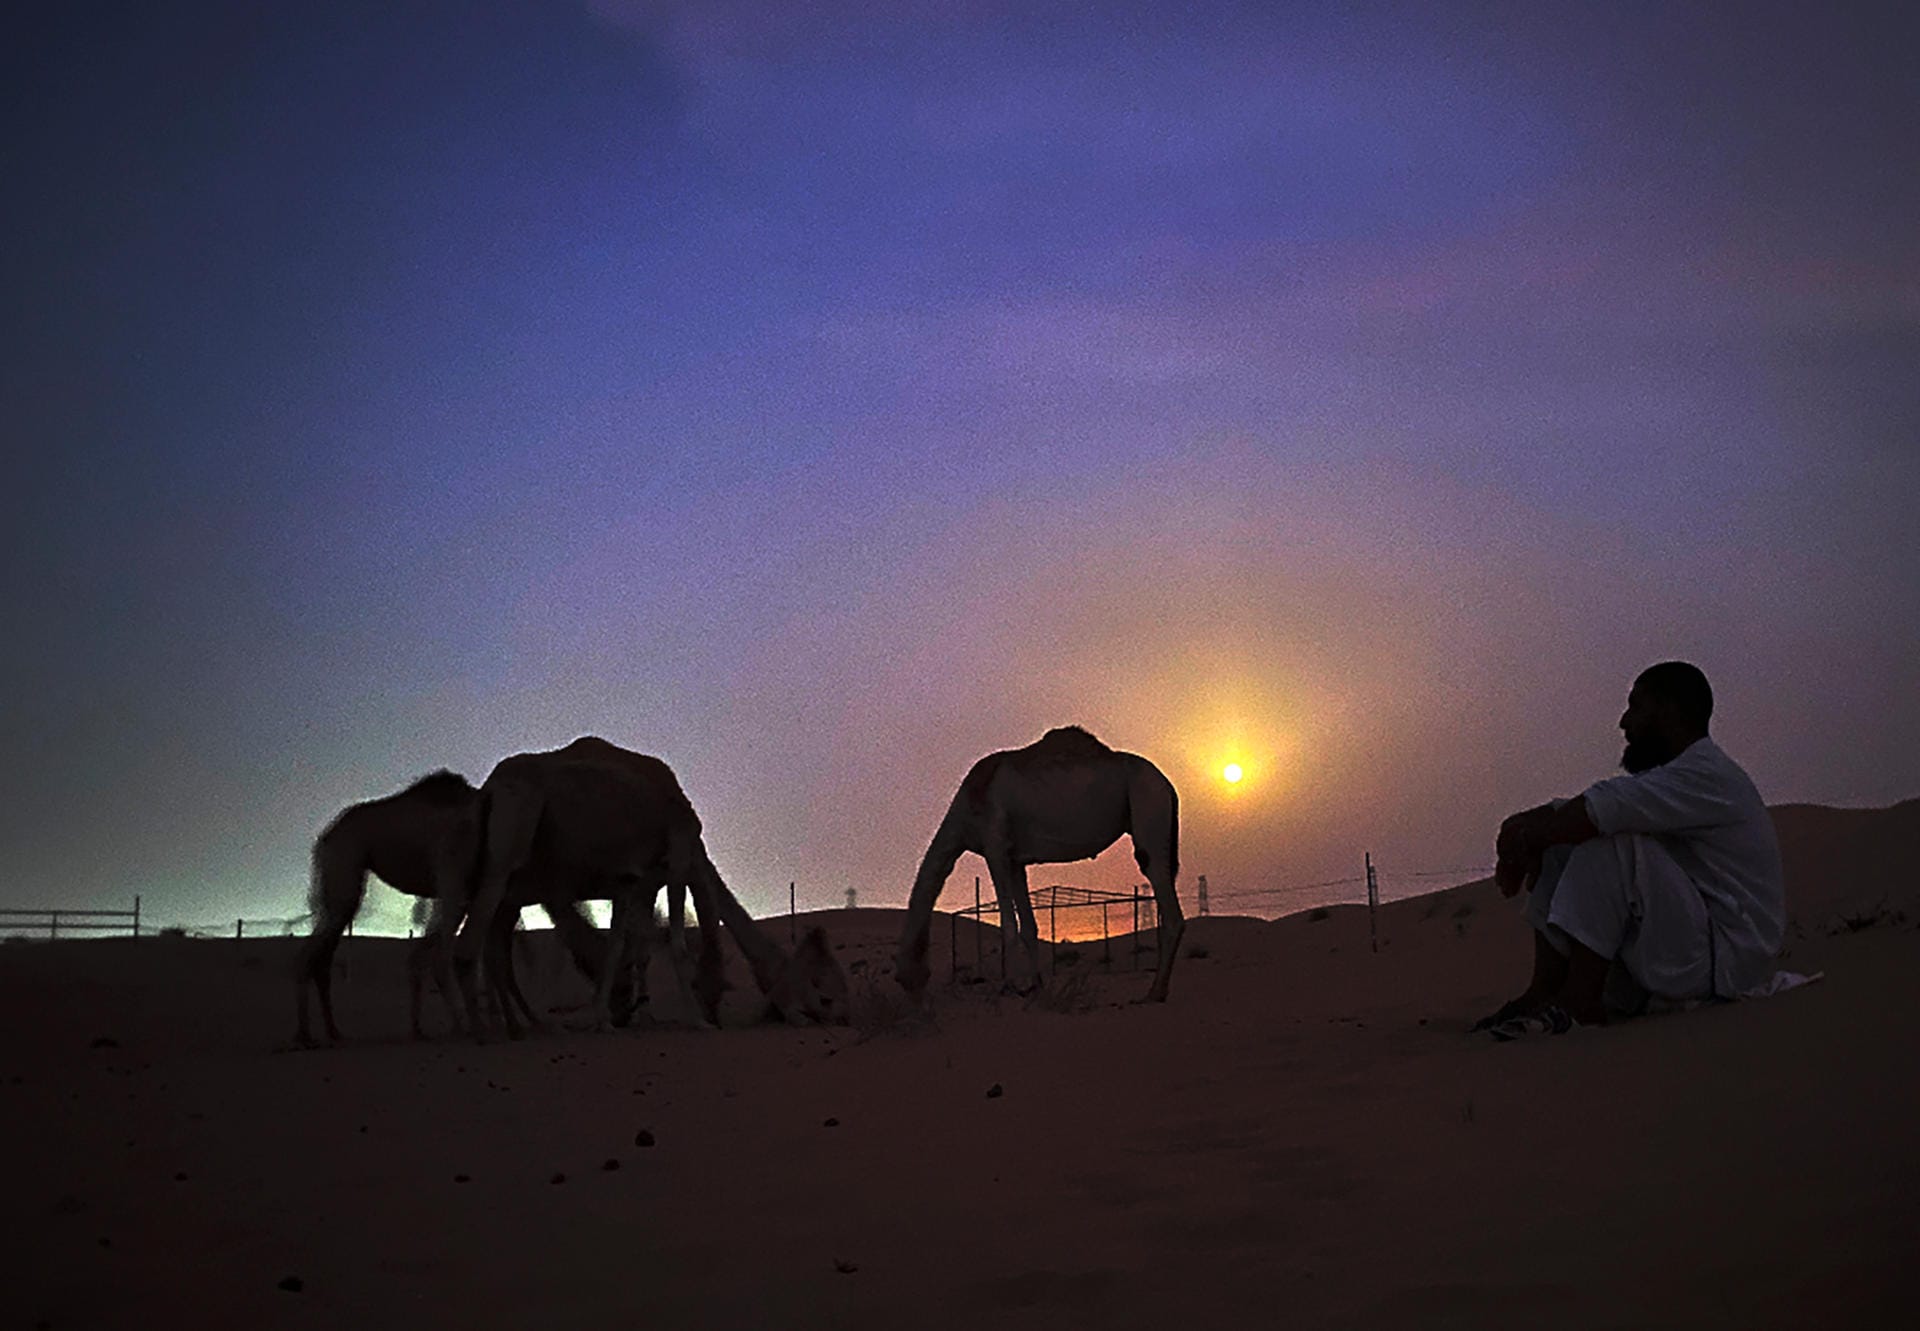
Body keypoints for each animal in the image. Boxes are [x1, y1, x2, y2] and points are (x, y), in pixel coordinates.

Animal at [441, 737, 848, 1037]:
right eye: (822, 991)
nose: (836, 1017)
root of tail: (490, 787)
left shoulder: (638, 880)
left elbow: (628, 946)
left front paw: (620, 1018)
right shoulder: (679, 856)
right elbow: (676, 944)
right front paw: (697, 1021)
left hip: (485, 867)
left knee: (478, 942)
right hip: (510, 840)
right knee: (469, 945)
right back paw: (481, 1031)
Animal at [898, 726, 1182, 998]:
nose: (909, 987)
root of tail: (1168, 785)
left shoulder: (995, 848)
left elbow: (1009, 925)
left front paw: (1010, 987)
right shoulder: (1015, 860)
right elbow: (1028, 926)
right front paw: (1035, 986)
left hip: (1148, 806)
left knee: (1168, 906)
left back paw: (1154, 991)